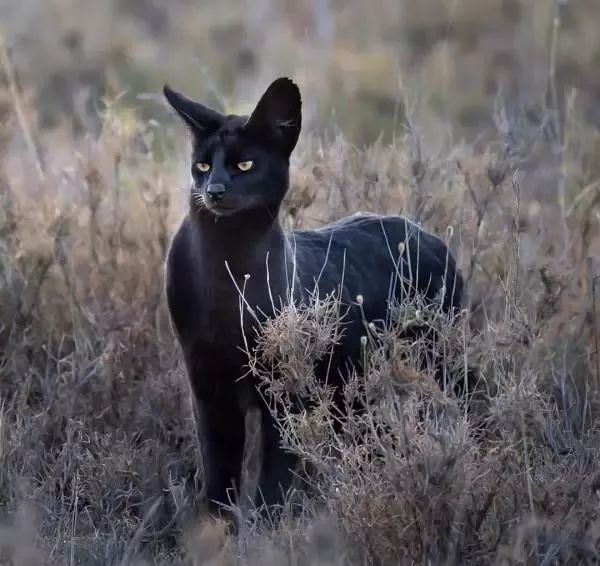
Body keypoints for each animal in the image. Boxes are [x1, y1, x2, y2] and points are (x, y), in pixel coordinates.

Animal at [162, 79, 462, 520]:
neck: (226, 263)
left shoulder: (284, 395)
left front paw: (268, 529)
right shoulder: (209, 389)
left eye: (245, 165)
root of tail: (429, 235)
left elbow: (273, 478)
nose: (213, 190)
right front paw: (214, 529)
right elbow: (219, 476)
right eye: (201, 166)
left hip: (439, 361)